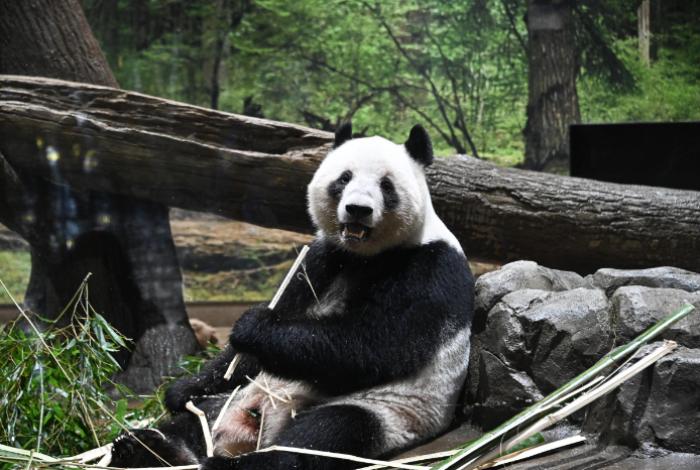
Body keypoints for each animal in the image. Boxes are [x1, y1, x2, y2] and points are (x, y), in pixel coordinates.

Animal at [110, 123, 475, 470]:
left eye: (386, 185)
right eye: (344, 178)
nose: (357, 210)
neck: (365, 256)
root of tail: (249, 432)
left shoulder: (428, 269)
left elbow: (377, 345)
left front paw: (253, 326)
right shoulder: (322, 258)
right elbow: (250, 352)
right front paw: (181, 389)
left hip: (389, 412)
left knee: (324, 434)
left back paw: (233, 464)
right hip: (236, 398)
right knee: (196, 421)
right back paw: (149, 448)